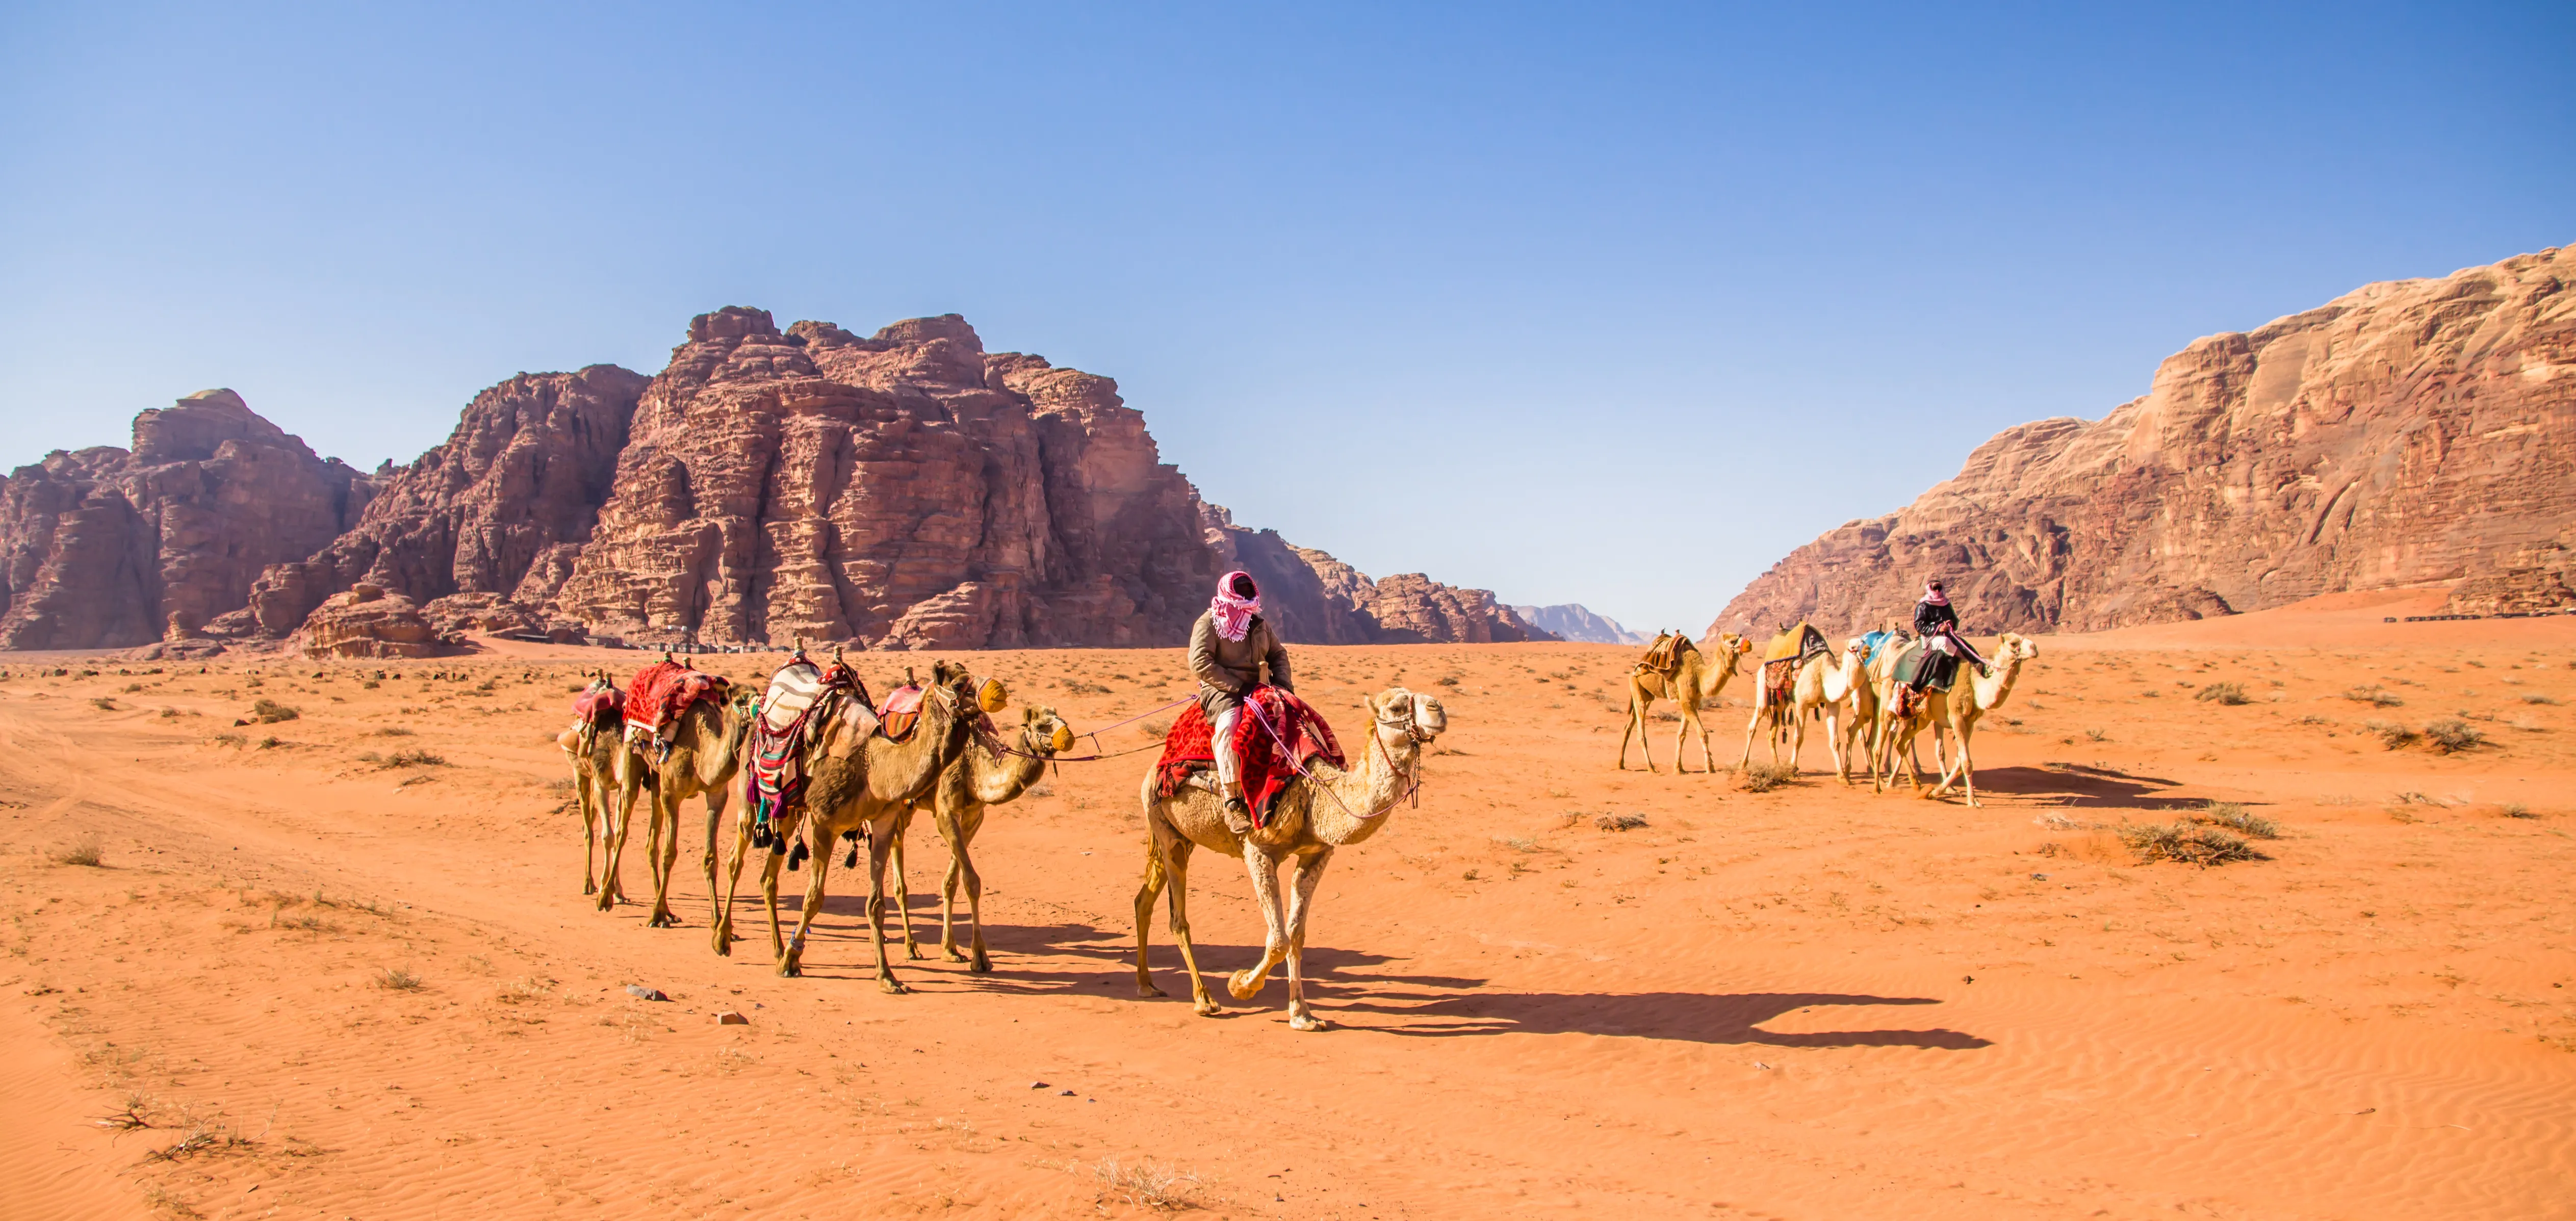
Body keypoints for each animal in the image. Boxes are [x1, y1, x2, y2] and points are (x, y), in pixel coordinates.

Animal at [605, 674, 752, 927]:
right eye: (741, 699)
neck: (700, 754)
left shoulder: (716, 794)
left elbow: (710, 858)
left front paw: (717, 921)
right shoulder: (671, 794)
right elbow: (669, 853)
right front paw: (656, 915)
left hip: (656, 779)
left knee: (650, 841)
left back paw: (666, 909)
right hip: (632, 754)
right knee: (623, 829)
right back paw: (608, 897)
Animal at [886, 706, 1076, 973]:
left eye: (1063, 720)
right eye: (1041, 726)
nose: (1068, 737)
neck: (973, 767)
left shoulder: (974, 816)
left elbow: (953, 882)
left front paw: (951, 950)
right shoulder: (945, 812)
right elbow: (972, 881)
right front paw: (980, 957)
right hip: (899, 797)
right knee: (896, 853)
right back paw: (909, 946)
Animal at [1133, 685, 1453, 1030]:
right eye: (1395, 708)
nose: (1437, 709)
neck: (1315, 793)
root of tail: (1155, 767)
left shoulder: (1316, 855)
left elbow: (1296, 936)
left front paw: (1302, 1015)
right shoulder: (1257, 850)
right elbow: (1279, 940)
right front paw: (1241, 986)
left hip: (1179, 836)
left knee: (1144, 899)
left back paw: (1146, 984)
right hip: (1165, 828)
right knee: (1178, 918)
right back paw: (1204, 999)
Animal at [1607, 628, 1751, 772]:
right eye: (1732, 641)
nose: (1749, 645)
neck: (1699, 674)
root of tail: (1635, 669)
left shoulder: (1694, 702)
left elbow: (1682, 735)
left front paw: (1679, 768)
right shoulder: (1686, 701)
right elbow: (1703, 734)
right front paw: (1710, 767)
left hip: (1647, 695)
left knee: (1629, 726)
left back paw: (1620, 764)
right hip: (1635, 685)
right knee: (1641, 731)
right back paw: (1651, 767)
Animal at [1875, 633, 2029, 803]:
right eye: (2013, 643)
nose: (2034, 648)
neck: (1975, 686)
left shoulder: (1969, 723)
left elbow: (1958, 761)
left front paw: (1937, 792)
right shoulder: (1957, 718)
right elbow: (1965, 762)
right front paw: (1973, 801)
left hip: (1920, 718)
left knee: (1901, 742)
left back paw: (1915, 784)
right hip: (1888, 709)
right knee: (1880, 745)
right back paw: (1879, 787)